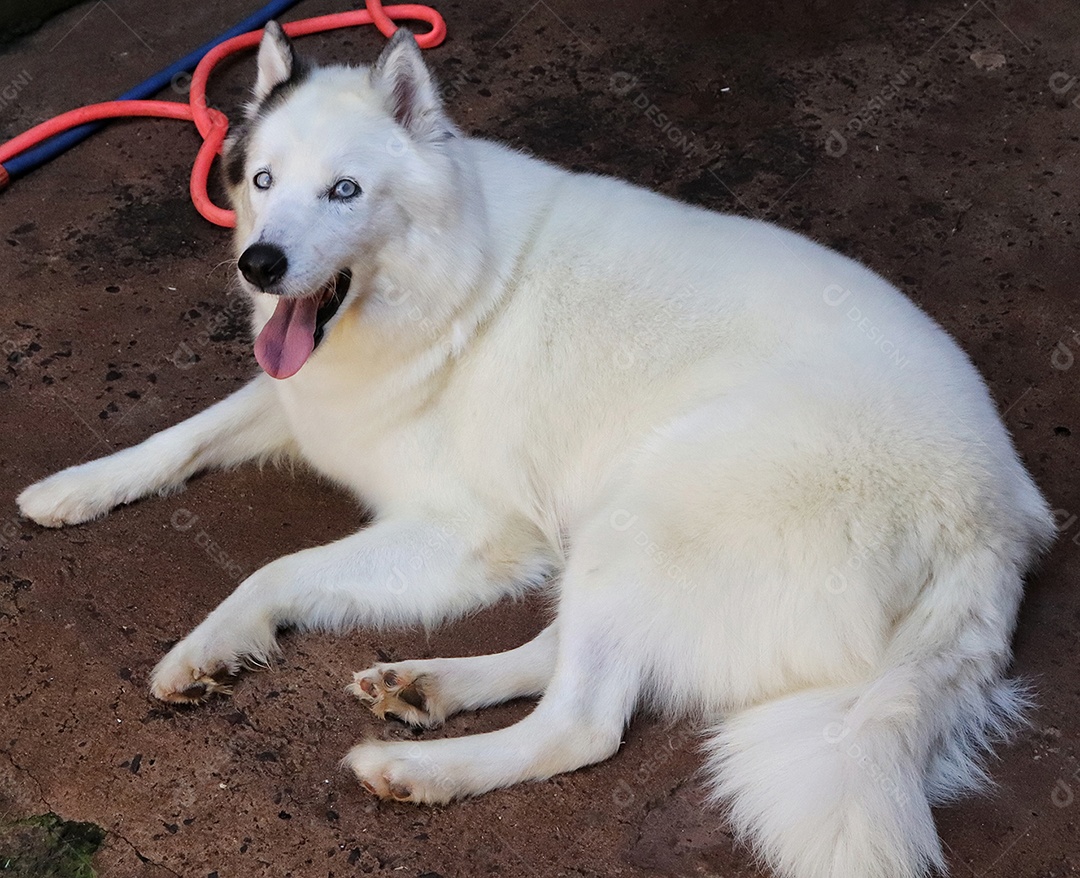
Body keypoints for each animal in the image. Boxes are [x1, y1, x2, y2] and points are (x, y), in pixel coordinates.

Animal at [14, 24, 1054, 876]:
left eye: (345, 191)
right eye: (262, 183)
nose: (258, 266)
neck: (450, 277)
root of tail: (995, 519)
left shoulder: (466, 534)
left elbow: (275, 570)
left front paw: (210, 644)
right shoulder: (308, 402)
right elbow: (179, 436)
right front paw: (75, 487)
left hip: (645, 511)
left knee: (583, 725)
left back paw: (420, 766)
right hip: (617, 541)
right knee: (572, 654)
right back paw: (428, 685)